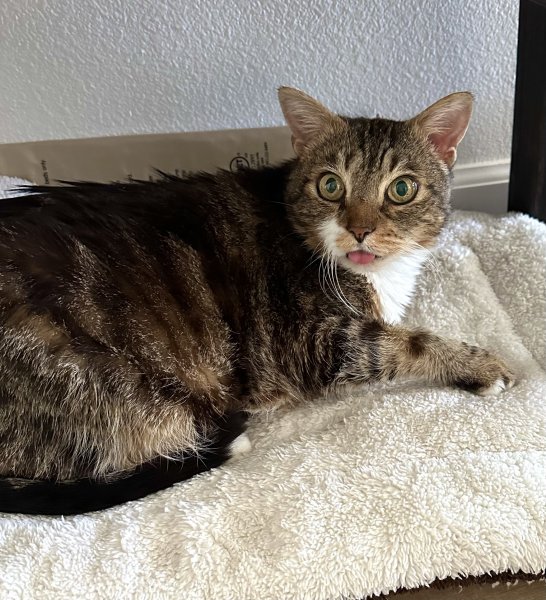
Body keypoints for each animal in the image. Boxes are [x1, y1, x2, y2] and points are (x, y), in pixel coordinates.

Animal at [0, 87, 514, 515]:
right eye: (331, 185)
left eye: (401, 189)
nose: (360, 229)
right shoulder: (308, 340)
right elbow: (405, 343)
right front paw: (483, 365)